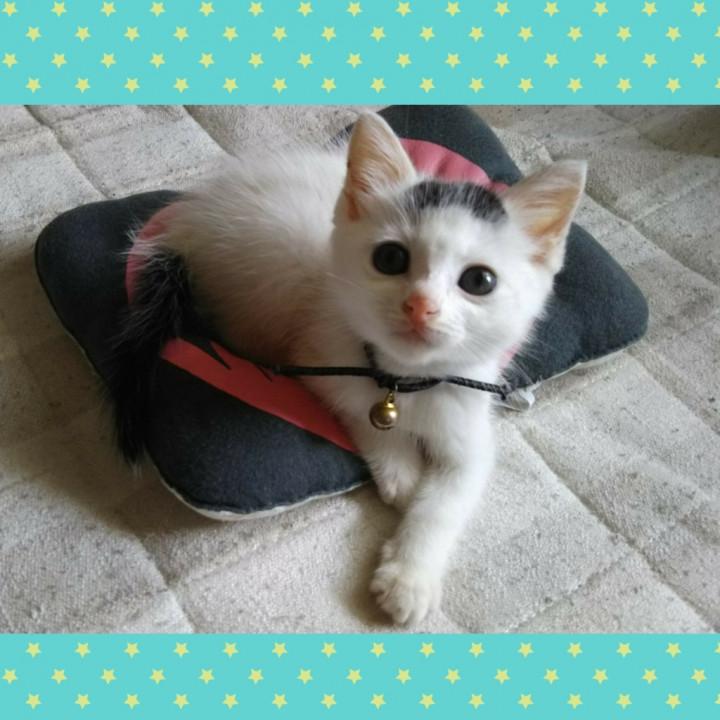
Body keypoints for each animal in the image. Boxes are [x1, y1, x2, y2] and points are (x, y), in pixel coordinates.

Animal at [114, 113, 586, 624]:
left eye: (479, 281)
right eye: (391, 258)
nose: (421, 305)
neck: (405, 380)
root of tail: (189, 219)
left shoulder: (468, 410)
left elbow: (449, 497)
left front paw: (409, 578)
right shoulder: (318, 355)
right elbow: (361, 408)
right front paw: (402, 474)